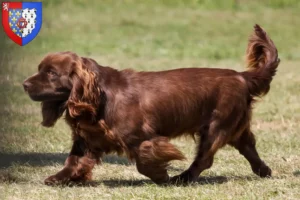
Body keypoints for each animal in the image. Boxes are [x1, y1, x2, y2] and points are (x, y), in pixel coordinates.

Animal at [22, 25, 278, 186]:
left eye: (52, 73)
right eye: (40, 69)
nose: (24, 84)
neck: (99, 98)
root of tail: (242, 76)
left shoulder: (142, 137)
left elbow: (144, 160)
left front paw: (161, 176)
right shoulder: (87, 139)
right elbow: (73, 160)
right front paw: (61, 178)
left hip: (217, 126)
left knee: (205, 158)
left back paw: (183, 178)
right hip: (233, 125)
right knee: (248, 146)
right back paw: (263, 171)